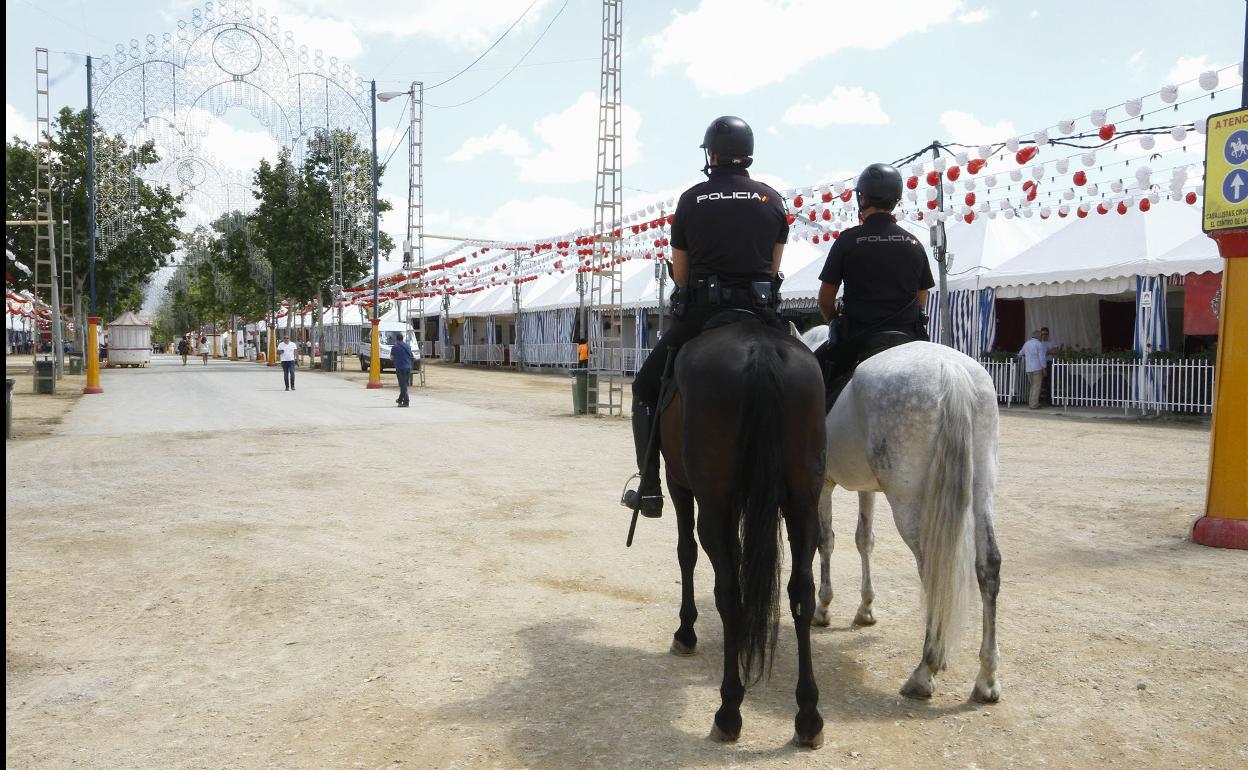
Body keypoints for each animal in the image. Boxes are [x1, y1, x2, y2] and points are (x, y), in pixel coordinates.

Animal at [653, 311, 828, 743]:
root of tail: (760, 349)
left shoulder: (680, 484)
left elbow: (686, 553)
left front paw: (686, 631)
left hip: (712, 502)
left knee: (728, 591)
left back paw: (729, 709)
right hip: (803, 500)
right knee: (801, 590)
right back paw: (808, 715)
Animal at [803, 324, 998, 703]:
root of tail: (950, 369)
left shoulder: (823, 484)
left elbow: (826, 541)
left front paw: (823, 608)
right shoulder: (866, 487)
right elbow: (864, 540)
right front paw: (865, 608)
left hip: (911, 502)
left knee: (932, 568)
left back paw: (925, 670)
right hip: (980, 491)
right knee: (988, 569)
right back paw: (986, 678)